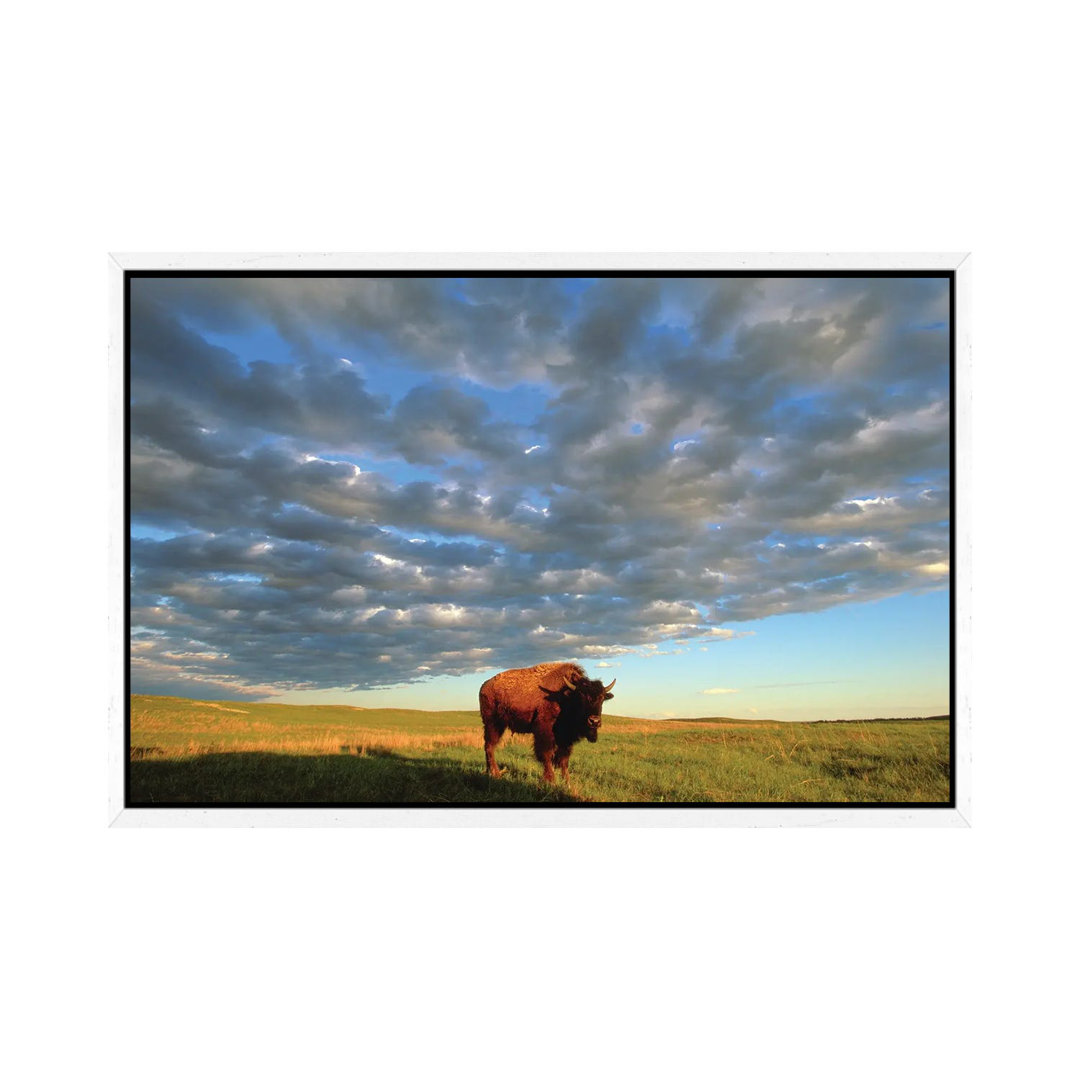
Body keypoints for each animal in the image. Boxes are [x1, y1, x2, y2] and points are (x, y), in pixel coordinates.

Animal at [481, 660, 617, 781]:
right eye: (581, 697)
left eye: (602, 698)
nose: (594, 721)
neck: (564, 695)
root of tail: (485, 685)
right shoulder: (545, 731)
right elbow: (547, 754)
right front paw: (550, 780)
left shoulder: (565, 738)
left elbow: (563, 759)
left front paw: (567, 781)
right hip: (492, 723)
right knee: (490, 746)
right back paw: (495, 773)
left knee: (489, 746)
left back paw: (489, 771)